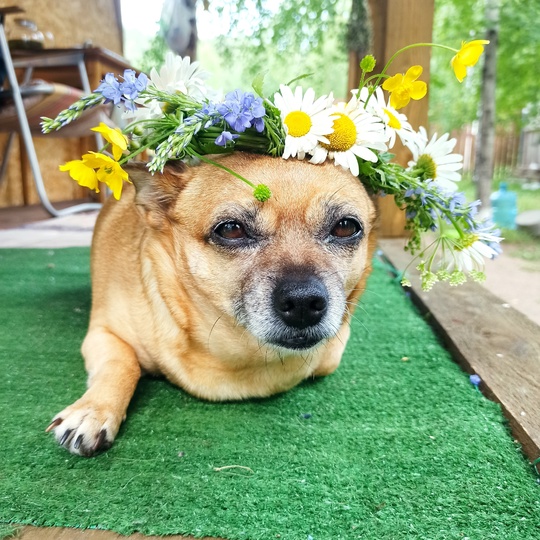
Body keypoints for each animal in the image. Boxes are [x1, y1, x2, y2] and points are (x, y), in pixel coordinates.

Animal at [45, 153, 376, 456]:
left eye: (346, 227)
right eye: (231, 230)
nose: (303, 301)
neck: (244, 355)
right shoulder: (103, 334)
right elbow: (123, 364)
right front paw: (93, 411)